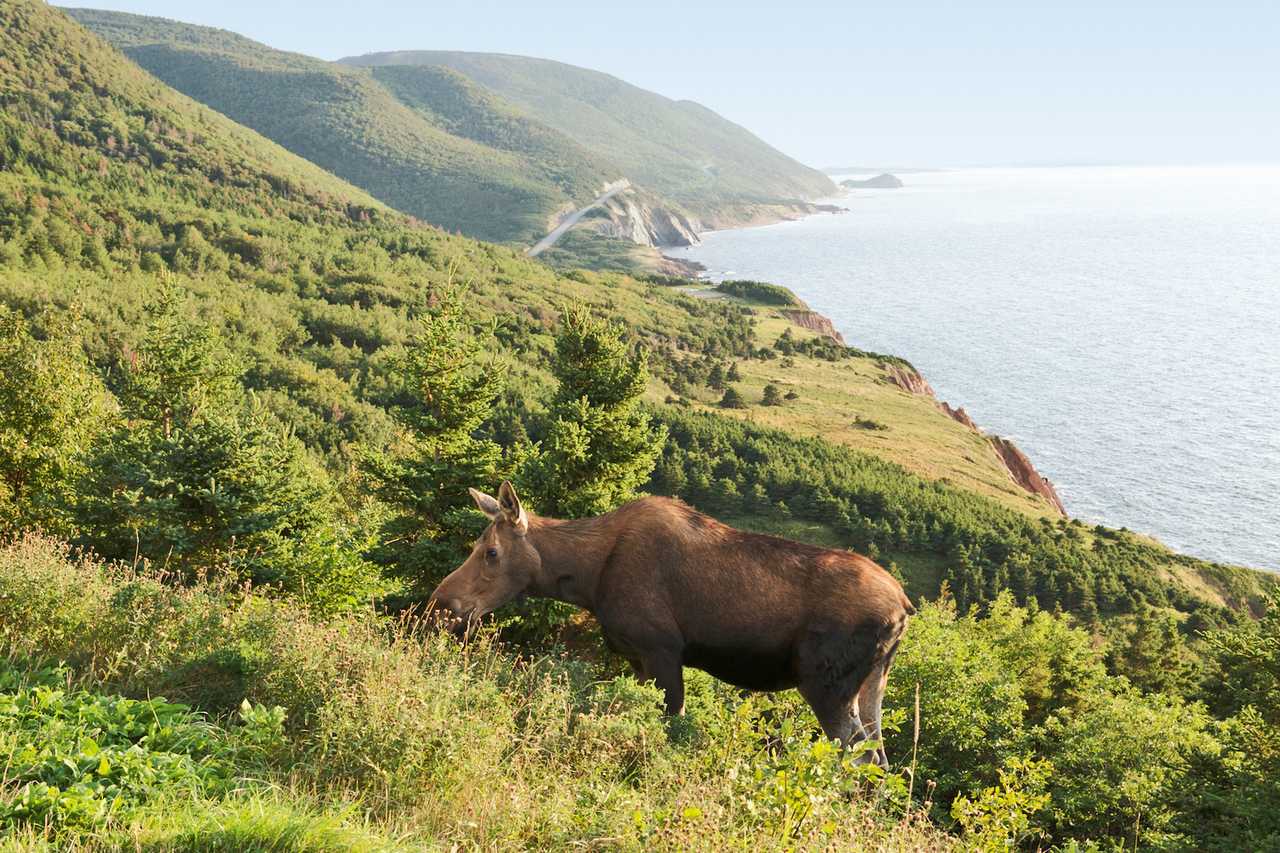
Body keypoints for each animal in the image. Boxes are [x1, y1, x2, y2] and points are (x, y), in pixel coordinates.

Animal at [430, 481, 913, 767]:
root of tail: (904, 608)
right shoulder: (637, 659)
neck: (587, 579)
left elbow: (671, 727)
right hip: (872, 684)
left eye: (491, 551)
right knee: (880, 757)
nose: (442, 602)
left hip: (826, 685)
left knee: (858, 758)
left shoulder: (662, 650)